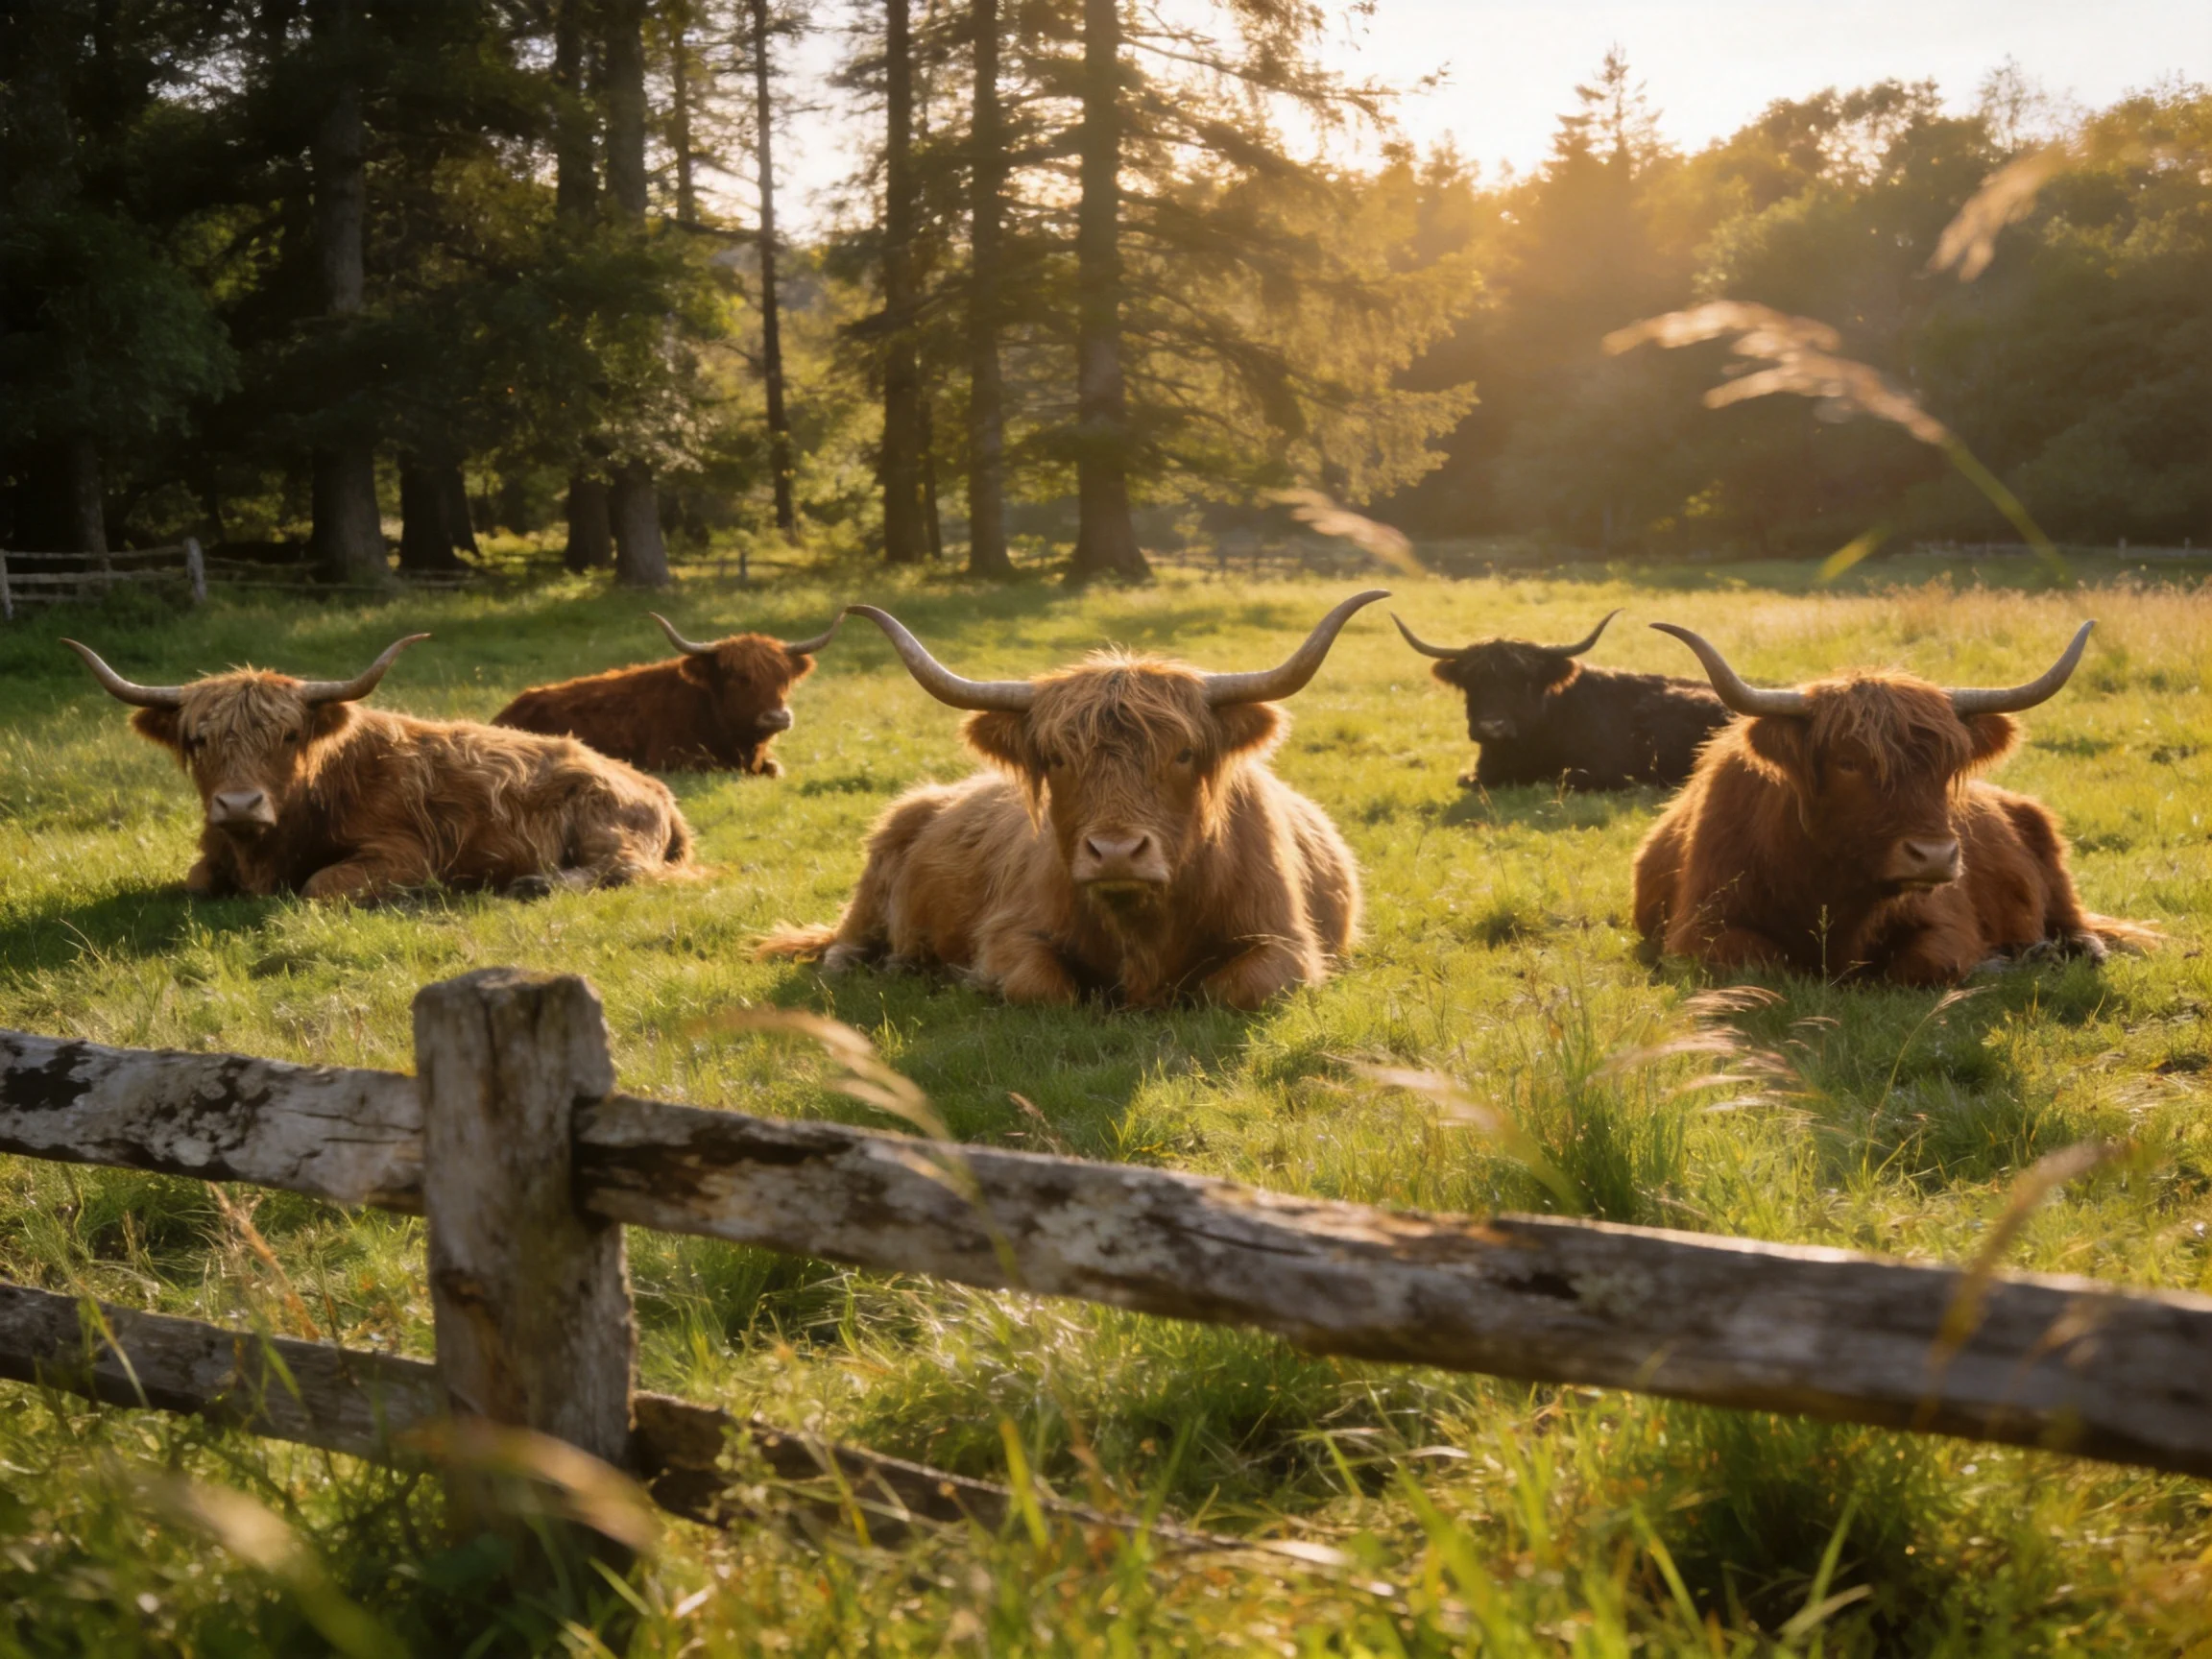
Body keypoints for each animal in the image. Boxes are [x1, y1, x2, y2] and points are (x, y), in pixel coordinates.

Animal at [65, 634, 693, 902]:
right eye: (198, 740)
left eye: (288, 735)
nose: (239, 804)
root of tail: (654, 787)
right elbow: (196, 881)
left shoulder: (408, 853)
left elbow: (319, 886)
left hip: (604, 825)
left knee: (626, 869)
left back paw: (535, 882)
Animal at [757, 593, 1385, 1009]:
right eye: (1057, 758)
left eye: (1184, 754)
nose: (1116, 852)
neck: (1140, 926)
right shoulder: (1008, 933)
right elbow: (1041, 986)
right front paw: (968, 980)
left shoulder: (1288, 944)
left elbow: (1238, 989)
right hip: (872, 888)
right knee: (842, 950)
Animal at [1632, 622, 2154, 986]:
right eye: (1847, 761)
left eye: (1948, 765)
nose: (1935, 856)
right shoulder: (1699, 930)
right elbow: (1762, 961)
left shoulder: (1947, 922)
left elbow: (1927, 963)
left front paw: (1999, 962)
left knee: (2078, 926)